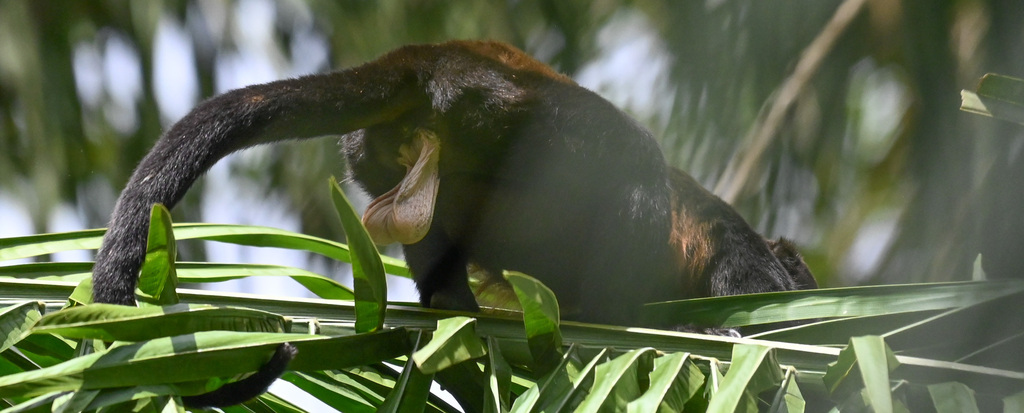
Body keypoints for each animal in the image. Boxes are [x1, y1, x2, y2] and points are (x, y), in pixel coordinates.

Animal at [91, 40, 813, 406]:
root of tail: (431, 55)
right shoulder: (750, 261)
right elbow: (764, 320)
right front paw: (726, 334)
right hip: (519, 115)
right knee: (630, 158)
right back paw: (619, 310)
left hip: (378, 152)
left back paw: (451, 302)